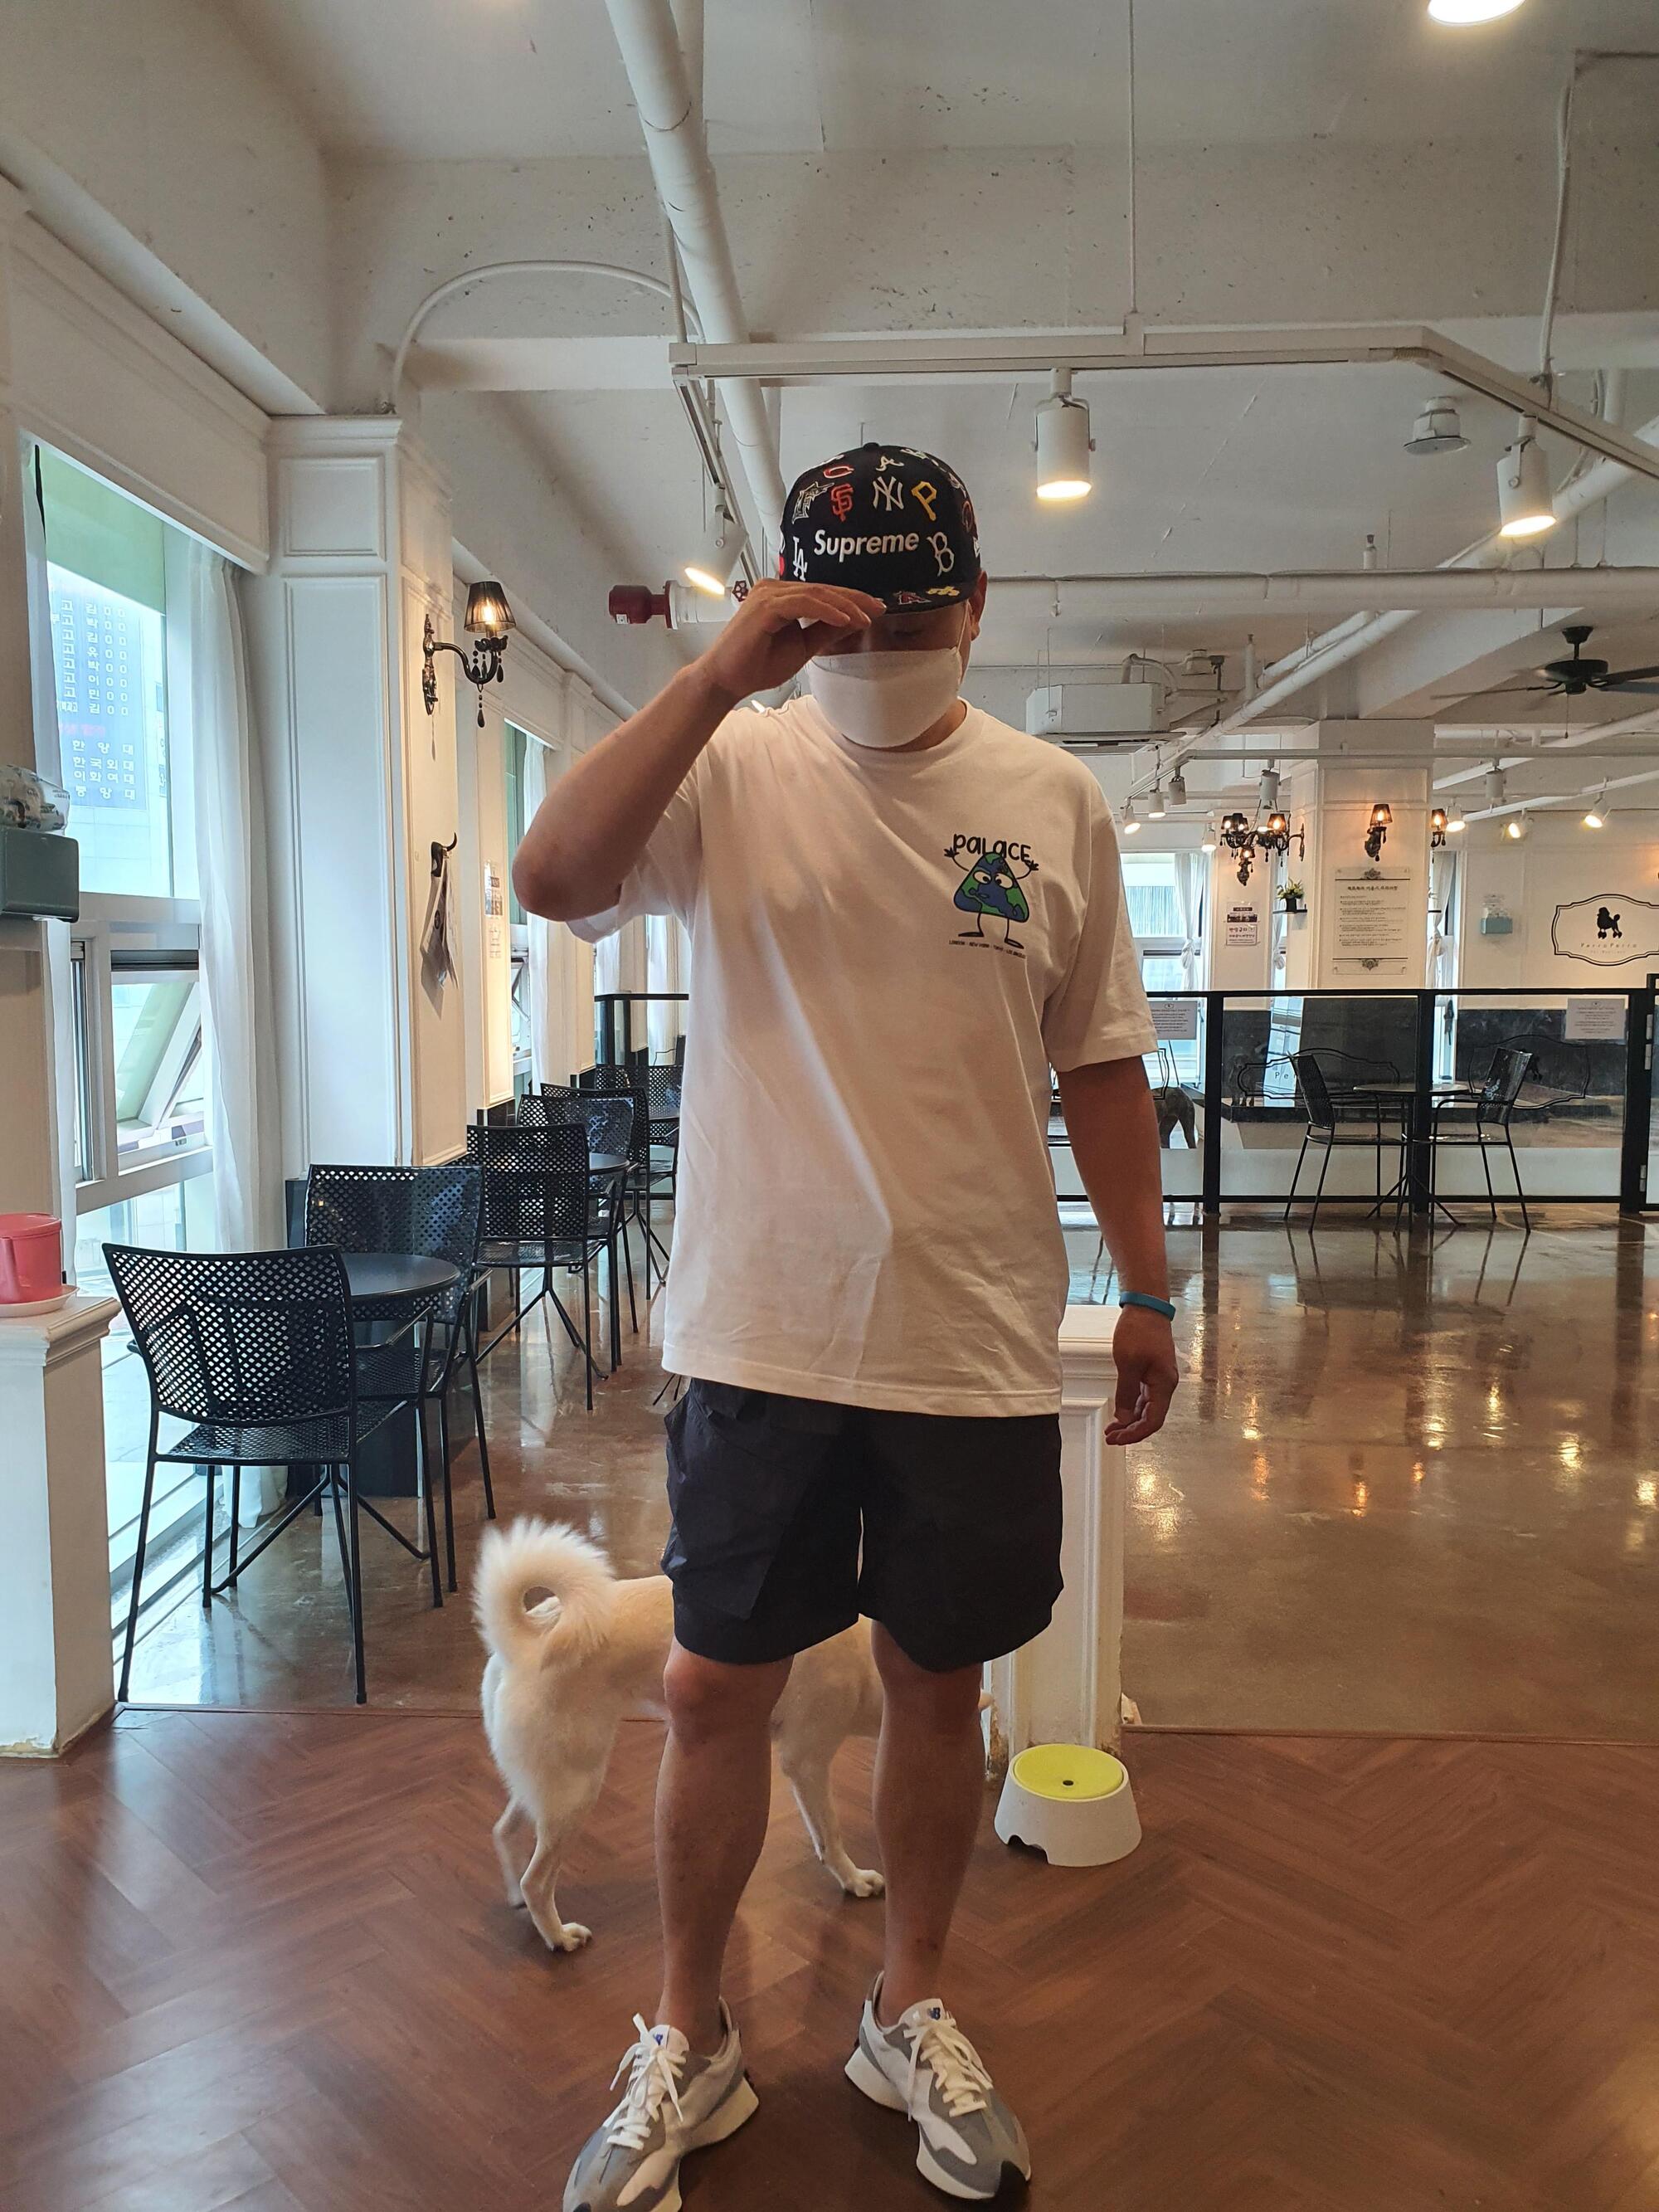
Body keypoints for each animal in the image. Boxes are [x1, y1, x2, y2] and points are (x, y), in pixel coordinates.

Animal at [476, 1517, 886, 1954]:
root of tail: (526, 1641)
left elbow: (819, 1833)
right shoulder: (806, 1762)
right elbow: (830, 1833)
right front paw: (855, 1880)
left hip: (547, 1787)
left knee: (504, 1833)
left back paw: (519, 1902)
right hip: (575, 1792)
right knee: (536, 1881)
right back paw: (560, 1937)